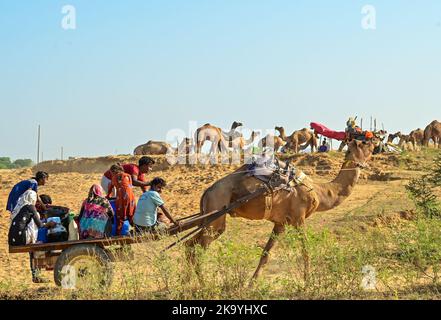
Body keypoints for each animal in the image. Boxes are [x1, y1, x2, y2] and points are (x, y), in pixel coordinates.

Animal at [184, 140, 372, 280]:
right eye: (365, 143)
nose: (375, 142)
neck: (319, 192)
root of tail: (207, 192)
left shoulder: (280, 223)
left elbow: (265, 255)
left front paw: (251, 284)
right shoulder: (299, 218)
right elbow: (305, 251)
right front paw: (308, 281)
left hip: (210, 218)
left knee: (190, 245)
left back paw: (189, 282)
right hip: (215, 214)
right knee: (196, 248)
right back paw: (200, 284)